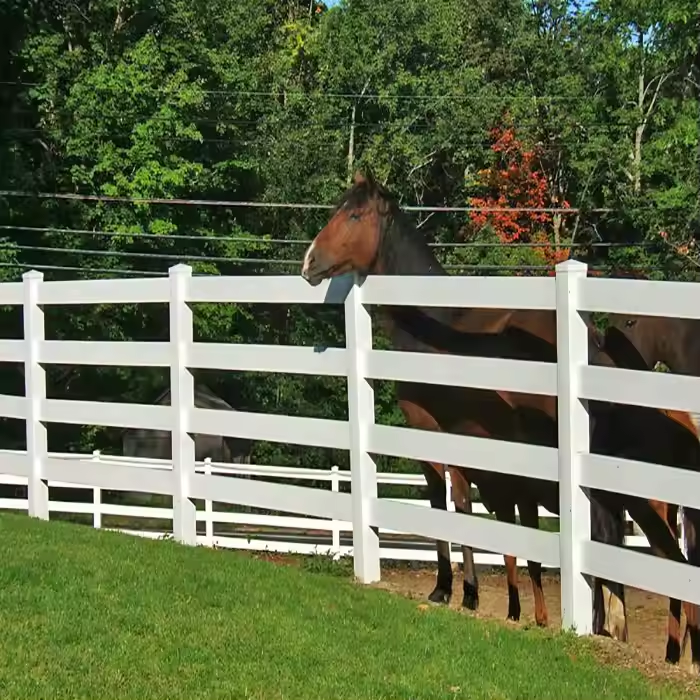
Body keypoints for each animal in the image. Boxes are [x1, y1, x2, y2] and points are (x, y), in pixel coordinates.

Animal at [299, 170, 700, 669]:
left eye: (354, 214)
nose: (309, 261)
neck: (435, 328)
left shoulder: (436, 435)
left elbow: (450, 505)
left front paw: (454, 591)